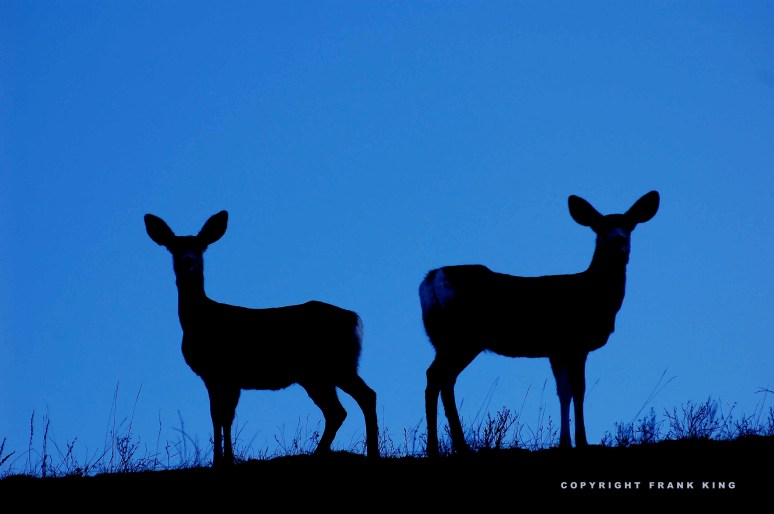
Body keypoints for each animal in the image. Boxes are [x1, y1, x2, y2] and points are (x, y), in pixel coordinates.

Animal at [144, 210, 380, 466]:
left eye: (200, 247)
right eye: (174, 247)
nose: (188, 261)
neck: (201, 320)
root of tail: (354, 318)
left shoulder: (225, 373)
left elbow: (223, 416)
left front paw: (225, 460)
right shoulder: (217, 377)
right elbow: (220, 416)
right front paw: (223, 459)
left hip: (335, 364)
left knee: (363, 397)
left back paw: (365, 453)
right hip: (318, 374)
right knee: (339, 410)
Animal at [419, 191, 660, 457]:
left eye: (630, 225)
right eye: (600, 227)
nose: (618, 241)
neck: (593, 294)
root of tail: (430, 279)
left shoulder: (557, 351)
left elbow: (563, 392)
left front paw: (564, 442)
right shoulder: (575, 343)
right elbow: (579, 389)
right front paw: (582, 441)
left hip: (444, 340)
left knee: (444, 379)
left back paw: (458, 447)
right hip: (462, 337)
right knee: (436, 376)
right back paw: (437, 448)